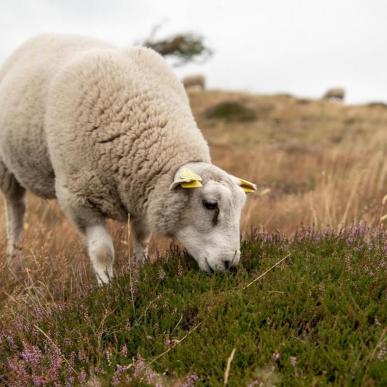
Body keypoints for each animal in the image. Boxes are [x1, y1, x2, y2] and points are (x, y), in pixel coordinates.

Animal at [0, 34, 256, 284]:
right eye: (210, 204)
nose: (230, 264)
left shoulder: (141, 192)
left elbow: (142, 239)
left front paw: (140, 273)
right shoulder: (78, 198)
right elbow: (102, 252)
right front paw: (107, 287)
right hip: (7, 169)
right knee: (16, 210)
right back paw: (15, 260)